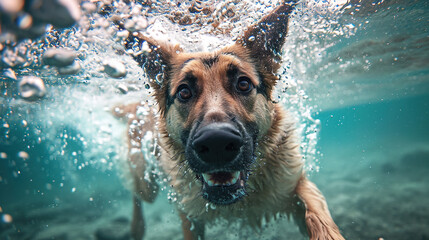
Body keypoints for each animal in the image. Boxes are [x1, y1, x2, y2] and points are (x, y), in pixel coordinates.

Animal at [113, 1, 344, 238]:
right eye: (184, 92)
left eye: (243, 84)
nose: (217, 143)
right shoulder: (189, 217)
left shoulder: (297, 184)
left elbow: (318, 218)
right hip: (146, 180)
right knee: (138, 193)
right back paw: (136, 226)